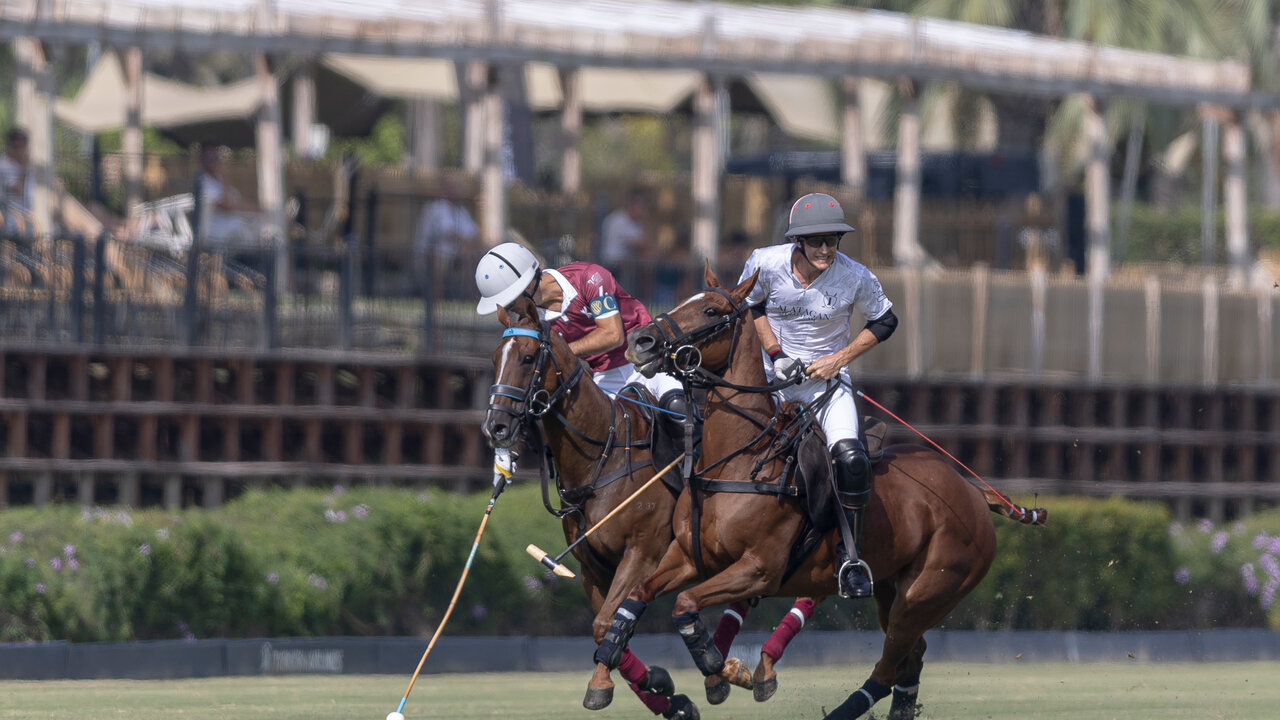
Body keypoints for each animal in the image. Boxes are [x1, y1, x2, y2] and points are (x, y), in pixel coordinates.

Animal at [583, 267, 1039, 717]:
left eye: (712, 310)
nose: (640, 342)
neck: (740, 459)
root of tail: (974, 493)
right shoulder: (688, 557)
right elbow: (635, 597)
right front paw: (621, 665)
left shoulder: (758, 568)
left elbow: (685, 604)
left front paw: (716, 667)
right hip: (892, 588)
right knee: (912, 657)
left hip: (928, 592)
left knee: (890, 664)